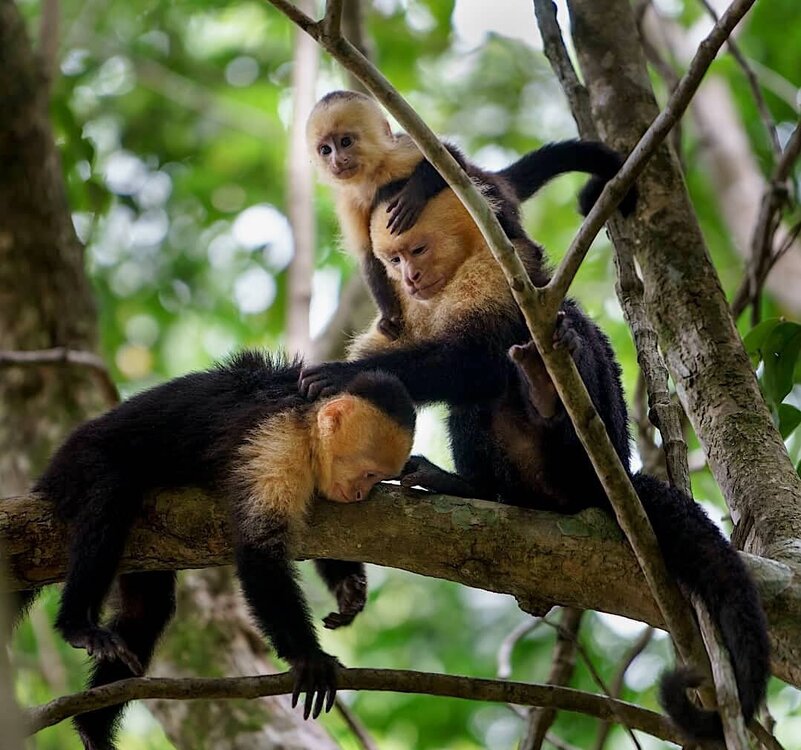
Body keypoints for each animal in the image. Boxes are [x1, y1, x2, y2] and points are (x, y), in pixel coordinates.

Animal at [30, 351, 415, 750]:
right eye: (370, 473)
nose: (360, 494)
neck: (306, 420)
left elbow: (328, 538)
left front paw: (349, 589)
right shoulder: (278, 442)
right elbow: (260, 549)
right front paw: (308, 658)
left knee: (148, 609)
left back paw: (93, 727)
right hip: (81, 464)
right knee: (109, 495)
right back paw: (77, 625)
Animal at [297, 187, 770, 743]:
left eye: (417, 251)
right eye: (393, 261)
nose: (409, 277)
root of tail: (605, 481)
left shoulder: (499, 268)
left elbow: (478, 355)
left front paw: (338, 375)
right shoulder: (404, 310)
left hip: (580, 459)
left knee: (558, 339)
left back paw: (546, 391)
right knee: (479, 413)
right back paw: (476, 488)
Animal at [307, 89, 636, 340]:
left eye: (345, 141)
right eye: (325, 149)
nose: (337, 160)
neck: (374, 175)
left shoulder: (402, 151)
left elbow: (451, 161)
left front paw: (416, 191)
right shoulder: (349, 201)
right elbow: (367, 254)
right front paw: (390, 317)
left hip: (495, 193)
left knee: (488, 198)